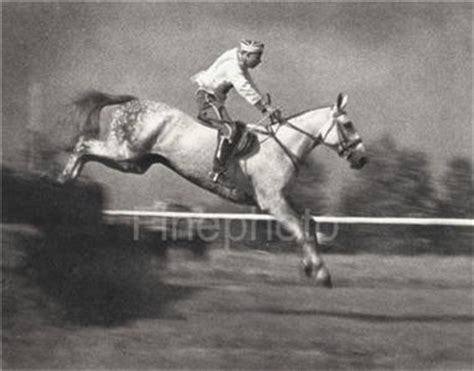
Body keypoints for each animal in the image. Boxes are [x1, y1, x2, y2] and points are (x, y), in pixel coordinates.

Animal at [58, 90, 366, 288]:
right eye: (348, 124)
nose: (363, 158)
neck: (282, 147)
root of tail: (132, 103)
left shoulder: (282, 199)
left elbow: (309, 224)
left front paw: (310, 267)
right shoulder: (272, 203)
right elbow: (300, 229)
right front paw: (321, 272)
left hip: (134, 162)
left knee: (87, 150)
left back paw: (70, 181)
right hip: (125, 152)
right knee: (84, 144)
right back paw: (64, 179)